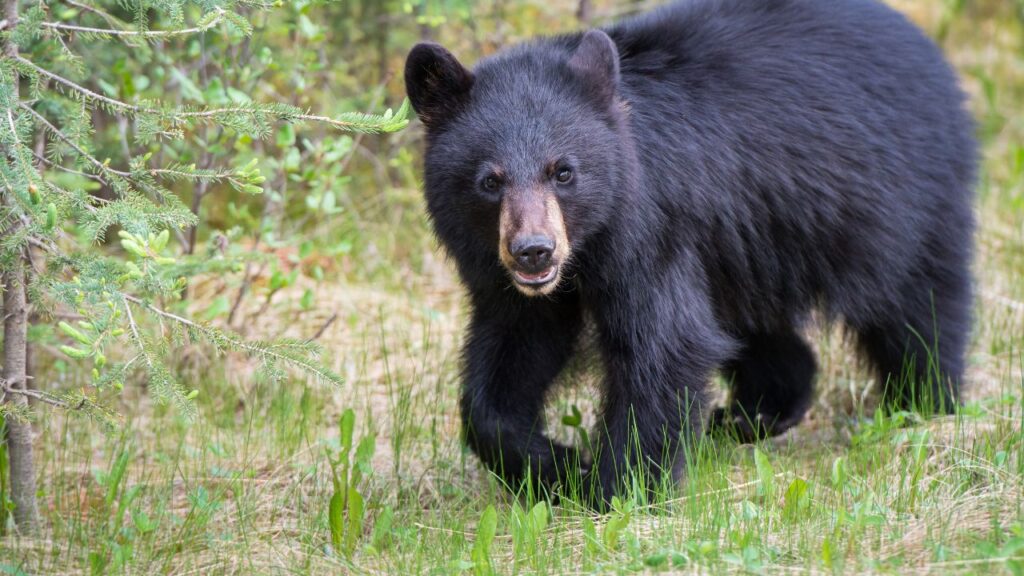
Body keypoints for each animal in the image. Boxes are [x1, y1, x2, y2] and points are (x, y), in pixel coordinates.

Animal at [404, 0, 976, 507]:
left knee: (918, 303)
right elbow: (512, 354)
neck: (588, 249)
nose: (534, 253)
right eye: (489, 181)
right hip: (750, 242)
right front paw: (553, 466)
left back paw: (921, 402)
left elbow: (664, 347)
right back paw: (755, 413)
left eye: (563, 171)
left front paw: (618, 488)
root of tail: (930, 50)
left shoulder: (652, 230)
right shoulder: (507, 279)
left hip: (902, 201)